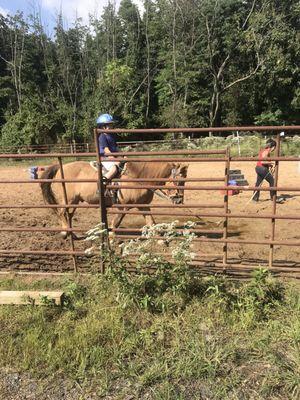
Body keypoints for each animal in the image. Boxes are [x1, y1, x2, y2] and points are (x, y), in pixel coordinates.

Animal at [40, 161, 188, 239]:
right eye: (179, 181)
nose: (179, 200)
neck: (136, 178)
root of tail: (60, 167)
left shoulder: (143, 205)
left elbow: (151, 222)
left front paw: (160, 239)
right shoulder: (123, 207)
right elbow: (115, 223)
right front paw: (111, 238)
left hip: (75, 202)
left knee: (68, 215)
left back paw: (72, 234)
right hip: (68, 200)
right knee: (61, 213)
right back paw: (65, 233)